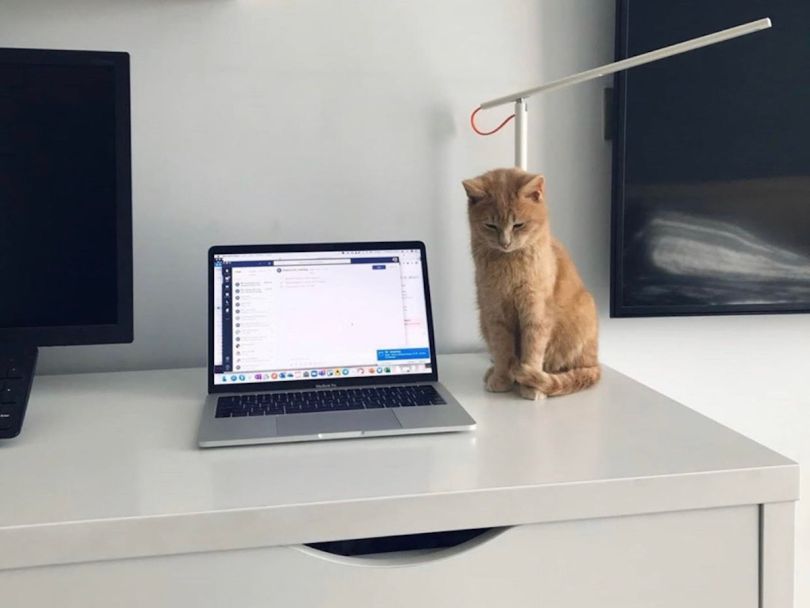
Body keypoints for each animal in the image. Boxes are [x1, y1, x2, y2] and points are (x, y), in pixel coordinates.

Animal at [460, 169, 600, 402]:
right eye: (490, 225)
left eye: (518, 225)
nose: (505, 242)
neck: (508, 265)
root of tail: (595, 363)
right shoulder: (494, 314)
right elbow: (502, 351)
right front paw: (502, 378)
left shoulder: (536, 314)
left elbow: (533, 351)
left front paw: (531, 385)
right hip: (483, 322)